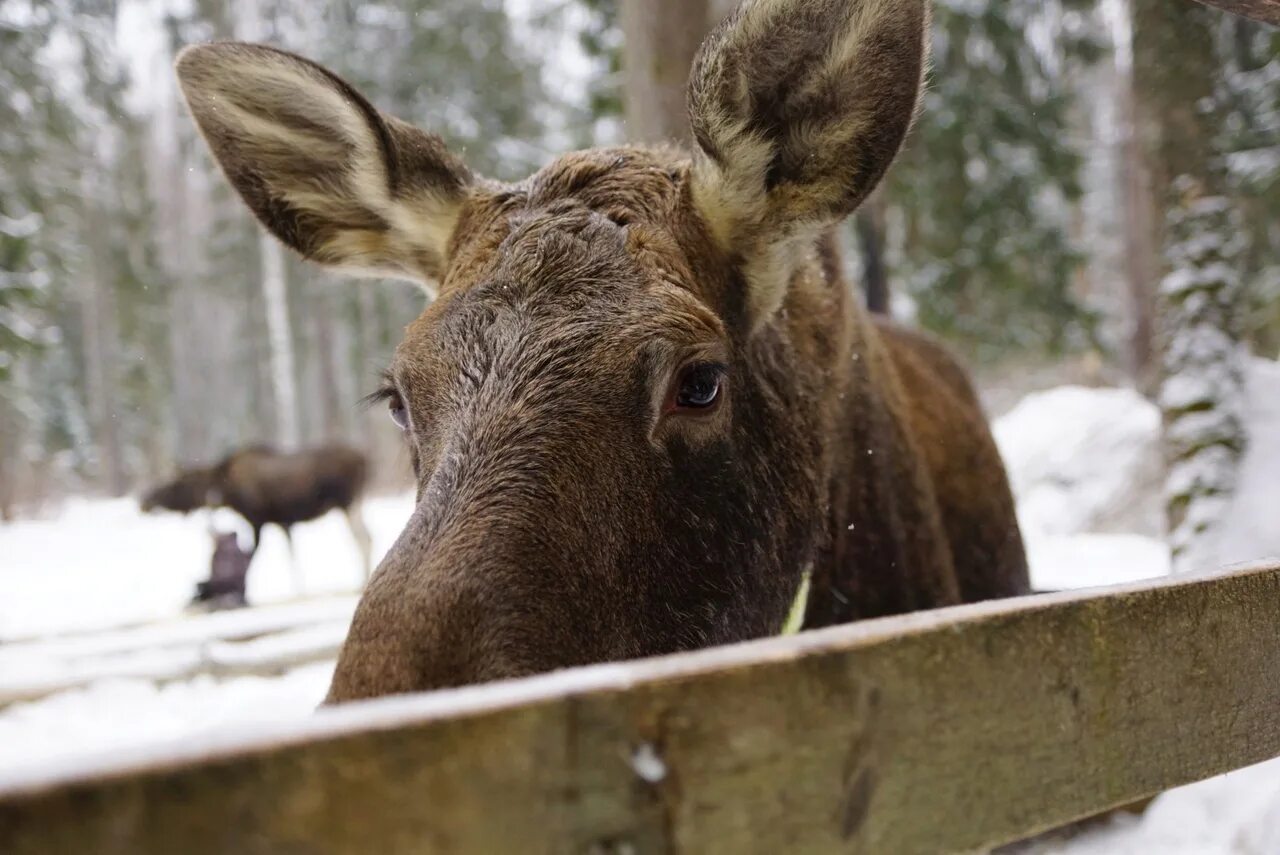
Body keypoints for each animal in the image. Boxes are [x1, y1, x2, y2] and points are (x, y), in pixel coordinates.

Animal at [146, 440, 373, 593]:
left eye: (176, 484)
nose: (145, 501)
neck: (227, 492)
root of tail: (364, 458)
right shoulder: (281, 521)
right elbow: (288, 553)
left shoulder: (257, 520)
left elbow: (251, 555)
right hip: (352, 504)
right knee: (366, 537)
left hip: (347, 502)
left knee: (362, 538)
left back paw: (362, 580)